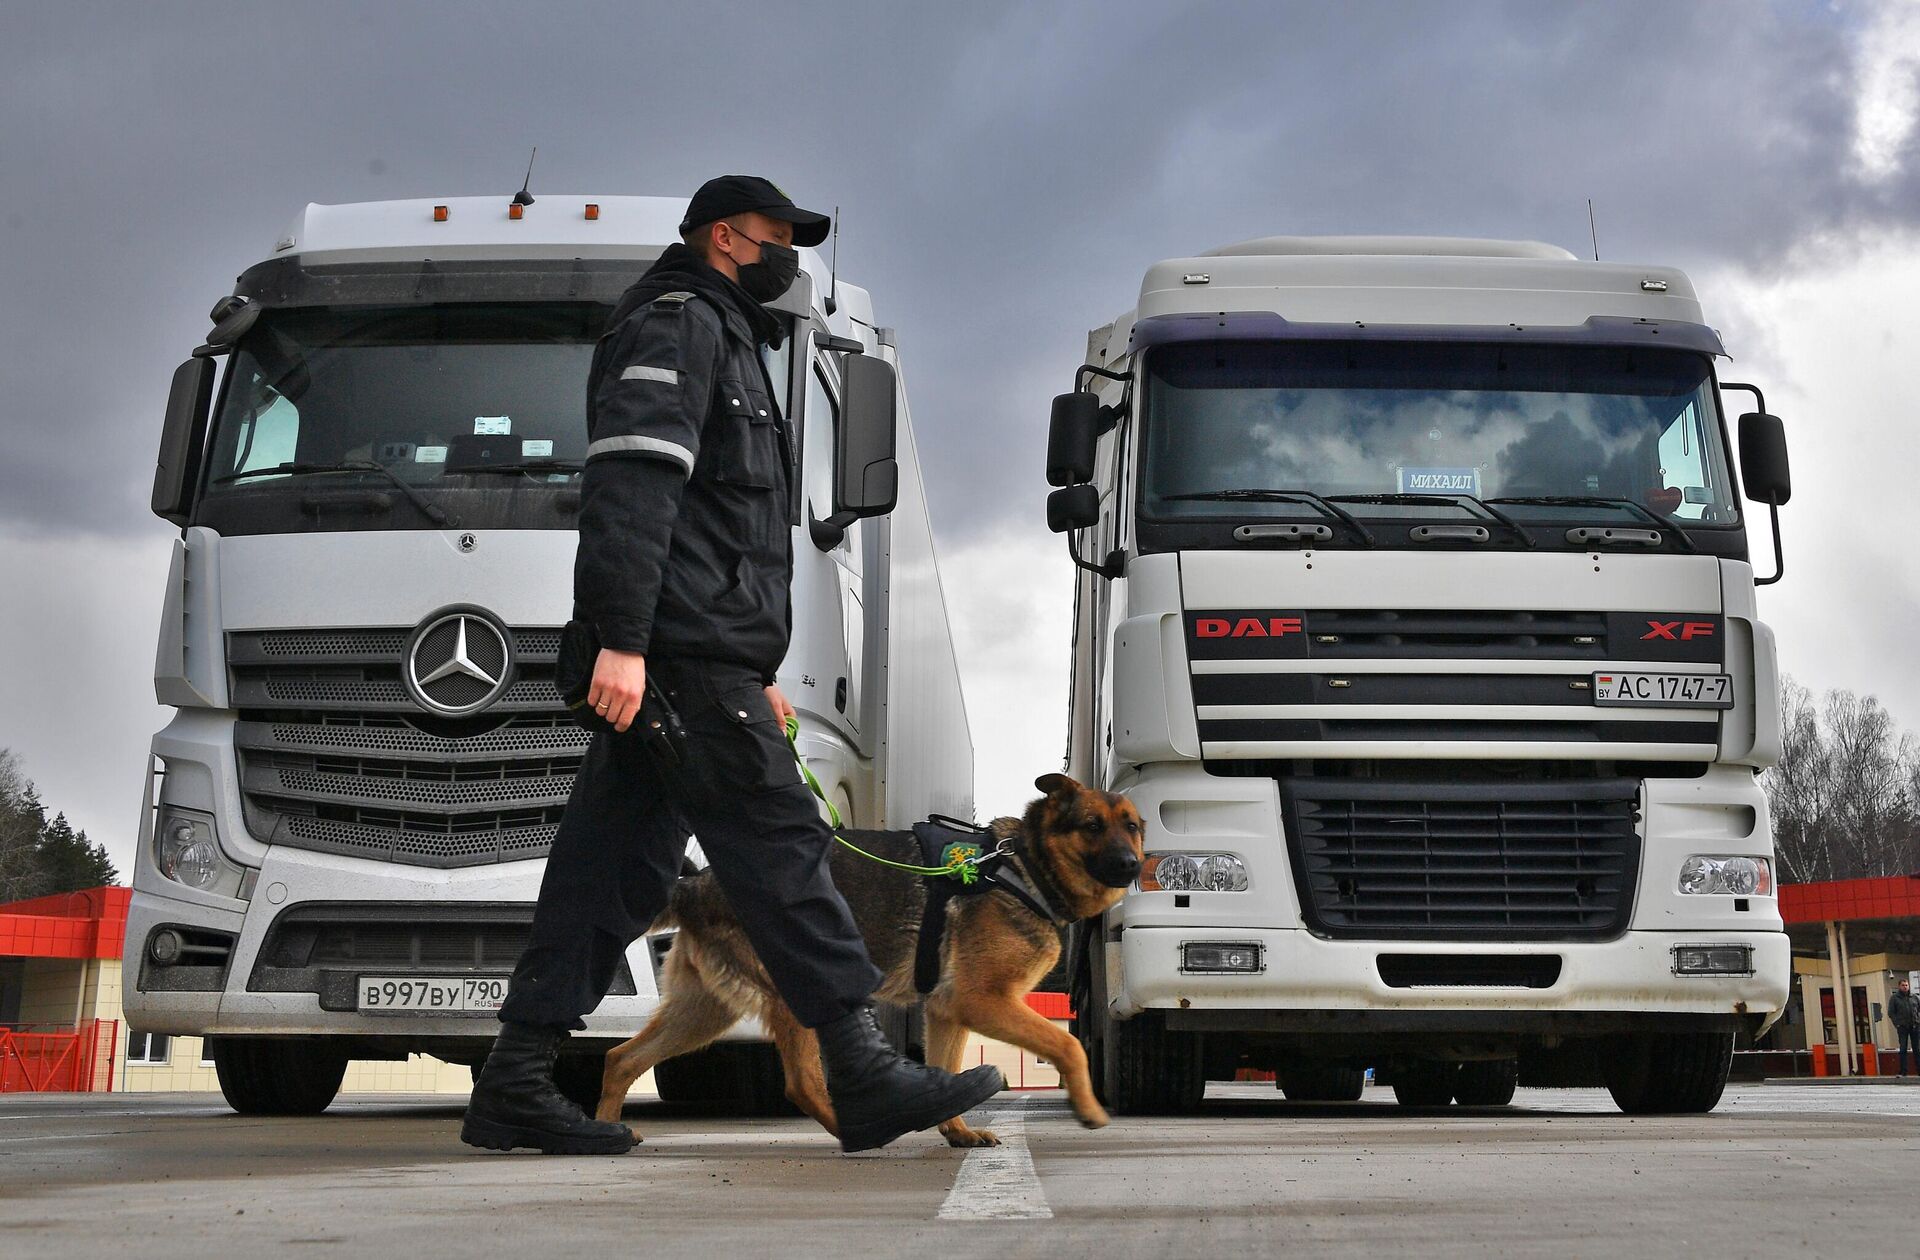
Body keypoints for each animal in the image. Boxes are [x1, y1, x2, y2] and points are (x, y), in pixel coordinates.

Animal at [595, 772, 1136, 1144]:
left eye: (1133, 828)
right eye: (1092, 826)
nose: (1133, 866)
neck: (1024, 865)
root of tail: (698, 884)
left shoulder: (947, 1011)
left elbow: (947, 1064)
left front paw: (957, 1131)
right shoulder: (980, 1000)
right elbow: (1069, 1045)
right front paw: (1089, 1109)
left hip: (704, 1012)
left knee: (621, 1058)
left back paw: (604, 1135)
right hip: (795, 990)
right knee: (803, 1085)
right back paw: (859, 1130)